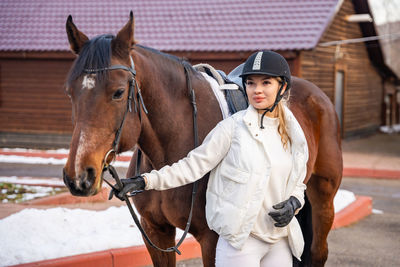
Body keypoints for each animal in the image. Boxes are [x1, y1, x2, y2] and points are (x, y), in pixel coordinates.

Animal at [61, 13, 340, 267]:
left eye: (118, 92)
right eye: (70, 92)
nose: (79, 176)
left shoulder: (212, 240)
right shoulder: (156, 232)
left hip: (323, 196)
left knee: (318, 252)